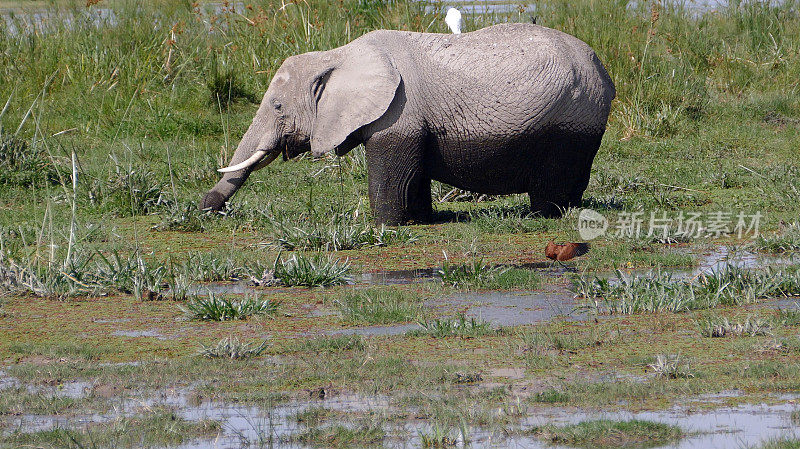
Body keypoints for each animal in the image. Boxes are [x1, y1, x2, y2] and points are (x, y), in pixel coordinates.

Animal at [200, 21, 612, 224]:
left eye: (278, 107)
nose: (207, 208)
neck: (339, 54)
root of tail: (604, 73)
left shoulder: (398, 113)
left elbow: (392, 175)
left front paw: (386, 225)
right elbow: (415, 175)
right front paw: (422, 219)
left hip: (568, 118)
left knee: (552, 183)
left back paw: (543, 215)